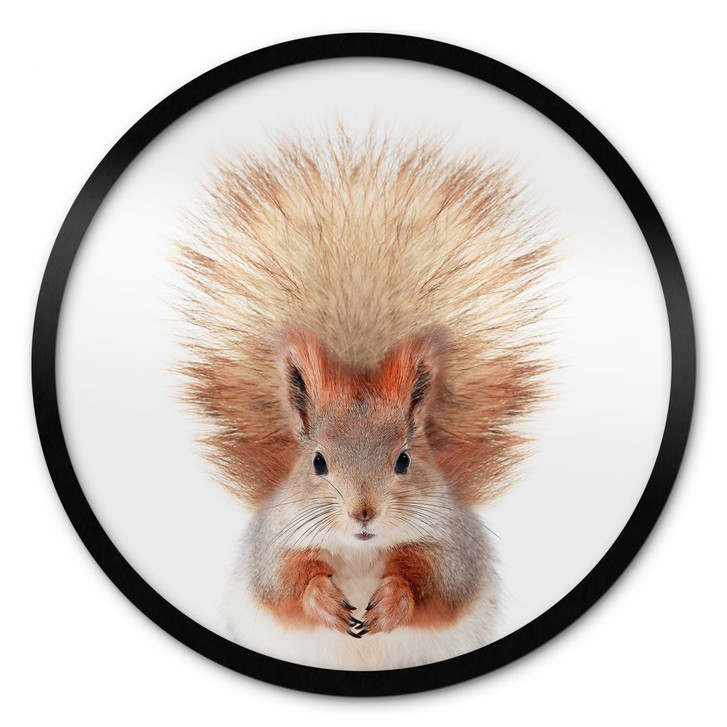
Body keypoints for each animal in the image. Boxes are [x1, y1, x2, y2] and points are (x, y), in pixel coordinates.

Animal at [174, 129, 556, 669]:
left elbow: (437, 584)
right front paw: (323, 601)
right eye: (316, 462)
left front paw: (393, 601)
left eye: (404, 460)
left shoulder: (451, 547)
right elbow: (284, 585)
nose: (363, 512)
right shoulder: (274, 545)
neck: (358, 550)